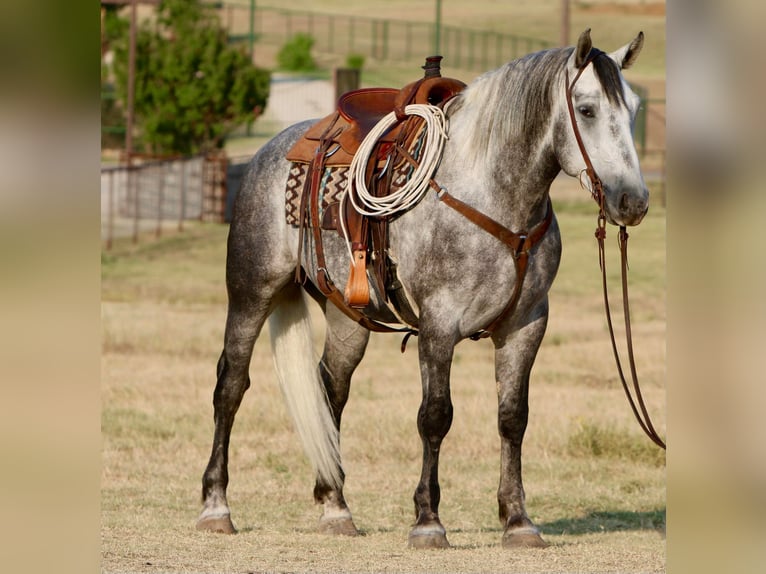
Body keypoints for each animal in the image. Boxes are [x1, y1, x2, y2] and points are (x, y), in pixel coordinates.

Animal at [198, 30, 648, 548]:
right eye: (587, 108)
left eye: (634, 109)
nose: (633, 201)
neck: (490, 194)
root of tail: (270, 151)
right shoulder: (438, 323)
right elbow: (435, 416)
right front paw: (428, 521)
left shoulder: (527, 323)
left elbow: (513, 417)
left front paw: (518, 520)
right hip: (251, 292)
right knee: (231, 385)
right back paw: (216, 506)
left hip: (346, 316)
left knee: (332, 389)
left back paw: (335, 507)